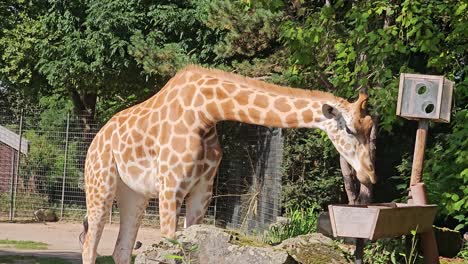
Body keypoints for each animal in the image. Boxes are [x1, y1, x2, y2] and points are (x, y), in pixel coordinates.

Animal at [79, 65, 372, 262]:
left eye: (370, 128)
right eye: (349, 129)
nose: (369, 175)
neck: (206, 112)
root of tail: (95, 140)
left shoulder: (202, 190)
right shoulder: (170, 187)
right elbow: (170, 247)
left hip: (133, 194)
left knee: (120, 250)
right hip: (100, 184)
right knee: (89, 246)